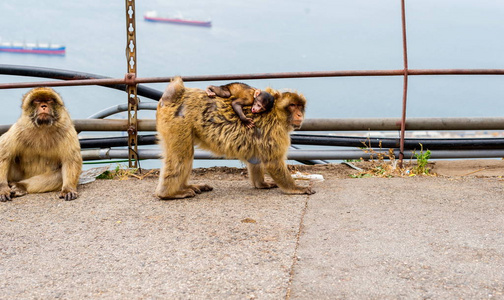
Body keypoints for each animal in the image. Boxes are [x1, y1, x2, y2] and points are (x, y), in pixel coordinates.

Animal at [157, 77, 316, 199]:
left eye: (300, 106)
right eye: (292, 105)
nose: (299, 114)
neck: (276, 113)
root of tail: (175, 95)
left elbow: (255, 158)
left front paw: (261, 184)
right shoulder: (274, 132)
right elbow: (273, 162)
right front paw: (296, 188)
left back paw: (185, 186)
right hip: (177, 122)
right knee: (182, 156)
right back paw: (169, 193)